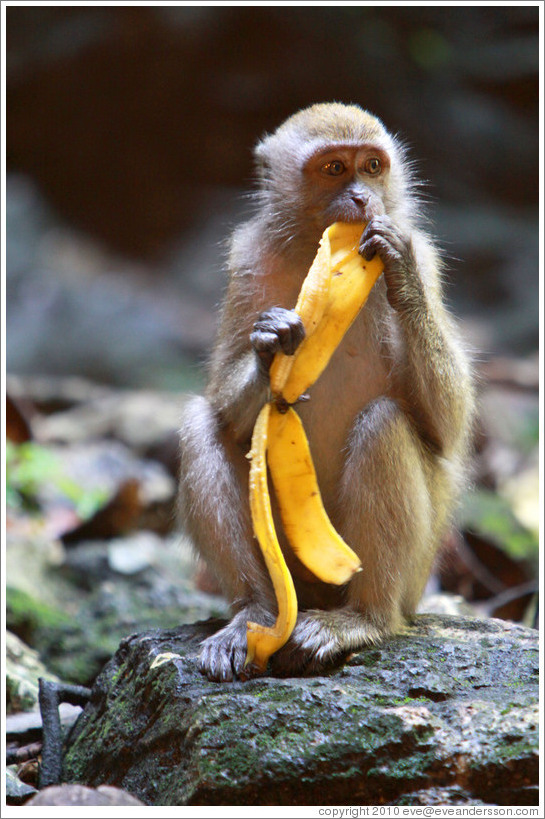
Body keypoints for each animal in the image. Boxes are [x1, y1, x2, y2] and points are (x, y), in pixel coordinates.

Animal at [177, 99, 472, 684]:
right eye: (335, 169)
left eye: (373, 167)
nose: (361, 197)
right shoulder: (246, 263)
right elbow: (224, 408)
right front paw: (271, 345)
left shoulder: (428, 255)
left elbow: (446, 428)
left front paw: (399, 270)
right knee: (201, 425)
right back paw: (253, 614)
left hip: (416, 576)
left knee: (384, 423)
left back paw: (363, 619)